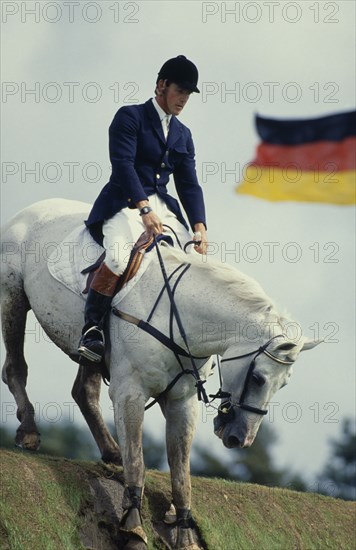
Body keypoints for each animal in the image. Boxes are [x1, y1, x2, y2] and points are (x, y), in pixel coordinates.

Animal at [1, 201, 320, 548]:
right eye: (260, 378)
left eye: (283, 385)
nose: (241, 439)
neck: (181, 318)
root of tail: (35, 207)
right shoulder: (129, 392)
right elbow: (138, 462)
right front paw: (132, 527)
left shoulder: (182, 402)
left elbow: (181, 474)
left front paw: (186, 535)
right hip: (12, 298)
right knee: (15, 368)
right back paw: (29, 431)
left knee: (84, 391)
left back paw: (110, 451)